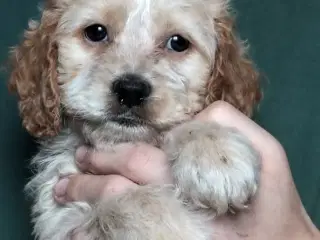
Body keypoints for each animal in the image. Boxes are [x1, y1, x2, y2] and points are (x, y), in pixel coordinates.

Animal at [8, 0, 262, 239]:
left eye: (178, 43)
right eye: (96, 32)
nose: (130, 90)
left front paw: (214, 153)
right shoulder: (60, 209)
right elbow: (130, 205)